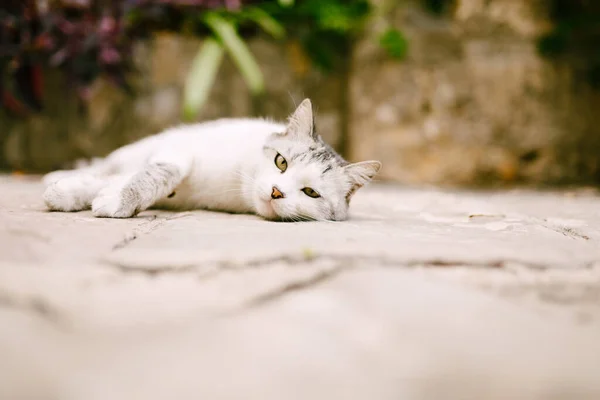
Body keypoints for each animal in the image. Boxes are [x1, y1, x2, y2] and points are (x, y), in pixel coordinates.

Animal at [41, 98, 380, 220]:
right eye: (281, 162)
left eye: (311, 192)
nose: (276, 192)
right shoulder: (176, 152)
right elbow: (155, 175)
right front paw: (68, 192)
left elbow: (123, 180)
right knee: (105, 165)